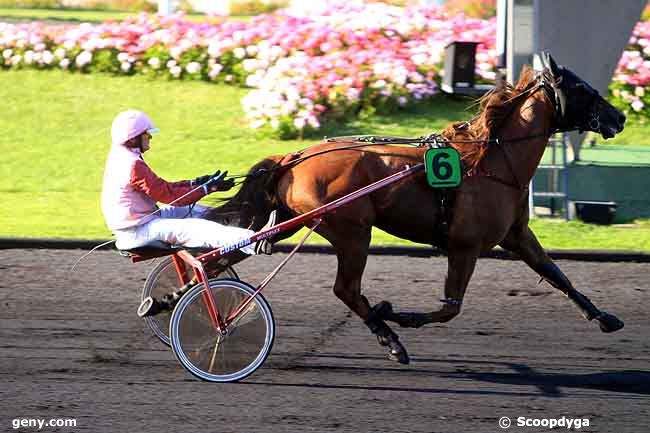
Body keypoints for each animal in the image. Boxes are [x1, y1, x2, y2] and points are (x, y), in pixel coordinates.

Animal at [206, 52, 624, 362]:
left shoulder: (516, 235)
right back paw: (389, 339)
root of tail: (294, 156)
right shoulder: (465, 247)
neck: (492, 161)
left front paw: (604, 317)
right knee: (346, 289)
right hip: (352, 231)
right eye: (581, 88)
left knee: (221, 257)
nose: (619, 117)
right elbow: (451, 307)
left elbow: (557, 275)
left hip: (290, 222)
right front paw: (397, 314)